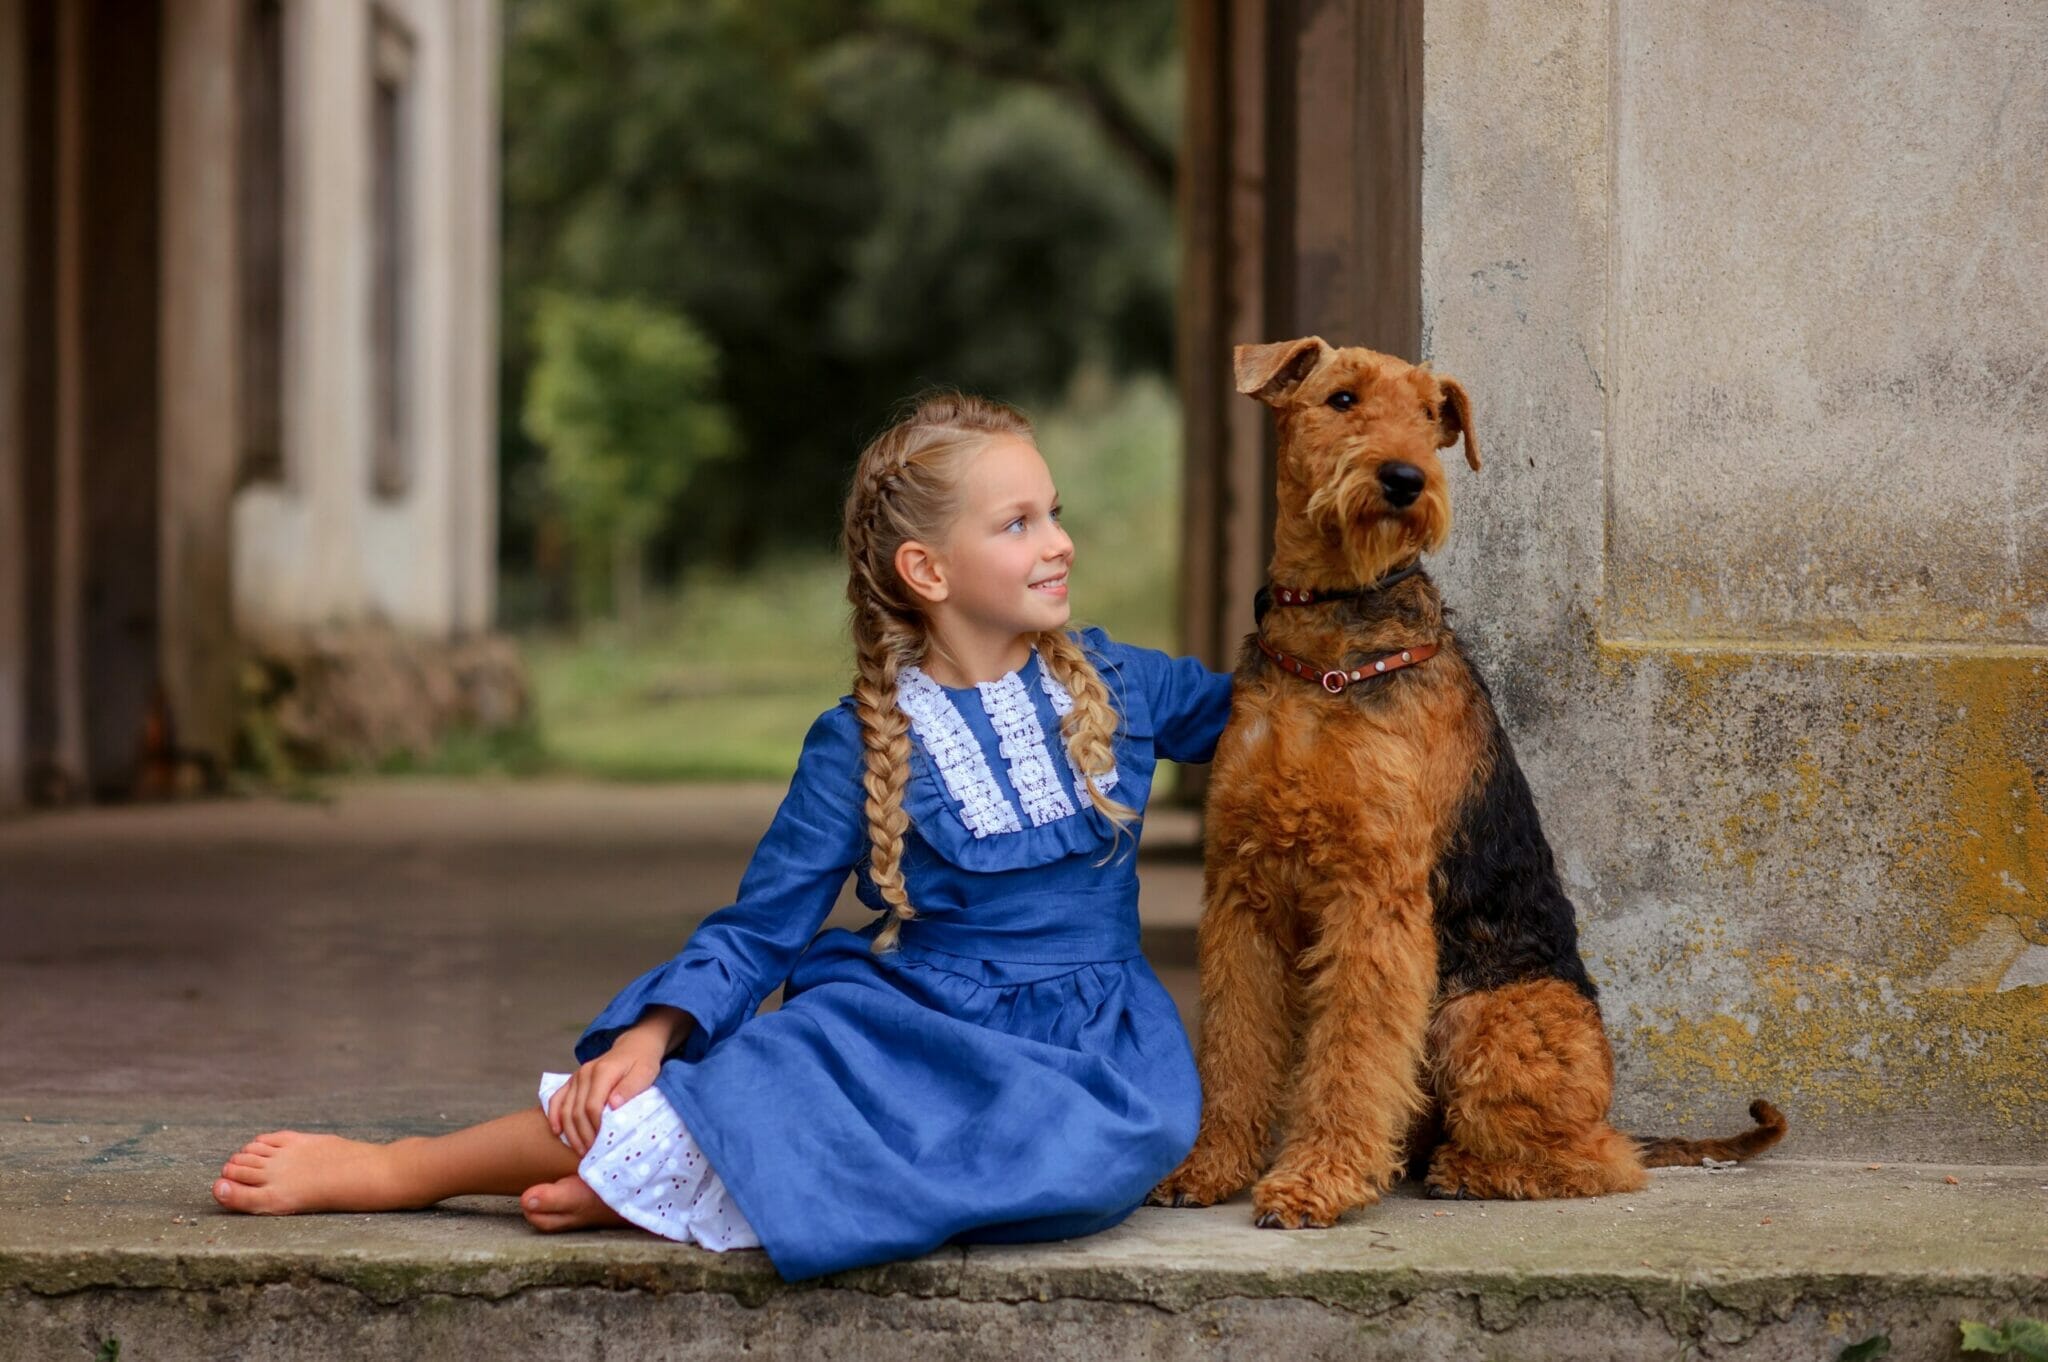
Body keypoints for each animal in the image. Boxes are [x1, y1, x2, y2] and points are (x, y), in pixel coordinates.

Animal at [1146, 333, 1785, 1228]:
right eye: (1342, 399)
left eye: (1427, 416)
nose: (1405, 480)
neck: (1329, 645)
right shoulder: (1244, 891)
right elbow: (1234, 1045)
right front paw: (1208, 1168)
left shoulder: (1374, 897)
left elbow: (1351, 1056)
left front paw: (1314, 1183)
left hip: (1478, 1017)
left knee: (1597, 1161)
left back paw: (1467, 1169)